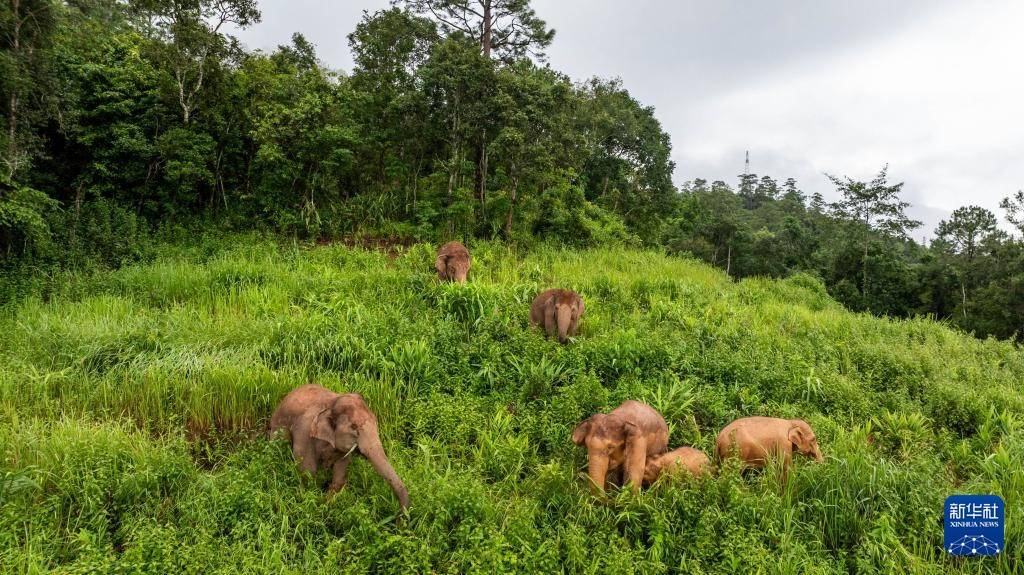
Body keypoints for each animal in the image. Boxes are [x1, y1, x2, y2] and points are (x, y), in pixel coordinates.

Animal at [270, 382, 409, 507]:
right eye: (354, 427)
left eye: (376, 422)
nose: (403, 517)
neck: (331, 404)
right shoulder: (304, 432)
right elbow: (308, 471)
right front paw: (314, 501)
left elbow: (340, 474)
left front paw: (326, 503)